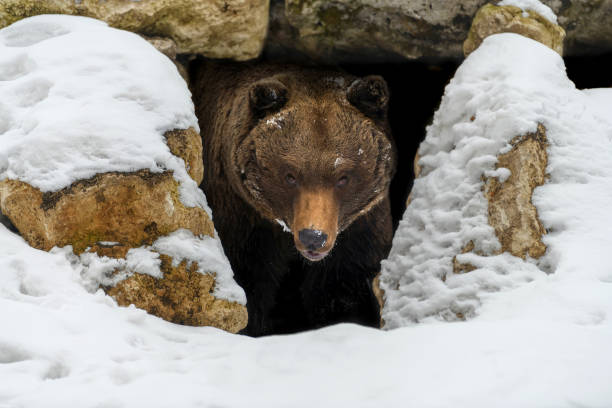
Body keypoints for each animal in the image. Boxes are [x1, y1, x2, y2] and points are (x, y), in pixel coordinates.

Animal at [192, 59, 396, 334]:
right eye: (290, 175)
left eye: (343, 177)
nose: (314, 237)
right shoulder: (244, 219)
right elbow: (248, 280)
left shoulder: (360, 230)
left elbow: (343, 290)